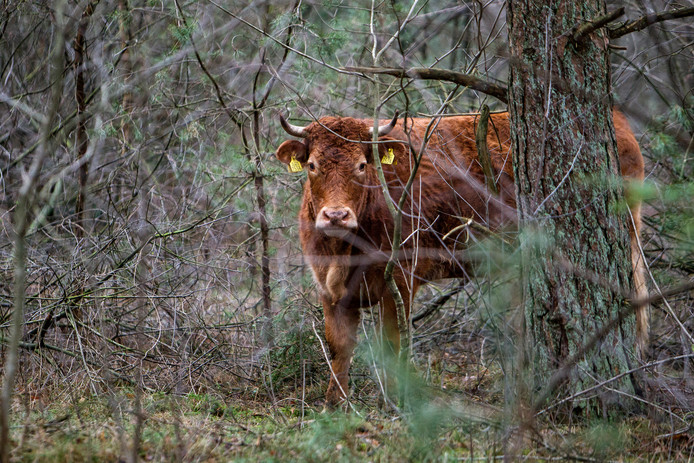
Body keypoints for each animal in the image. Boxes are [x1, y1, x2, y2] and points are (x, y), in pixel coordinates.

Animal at [274, 110, 648, 408]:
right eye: (312, 165)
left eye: (362, 165)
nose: (335, 216)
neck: (343, 251)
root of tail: (617, 118)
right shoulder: (329, 289)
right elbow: (339, 346)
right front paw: (334, 404)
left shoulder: (400, 281)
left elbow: (393, 342)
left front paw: (395, 401)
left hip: (626, 236)